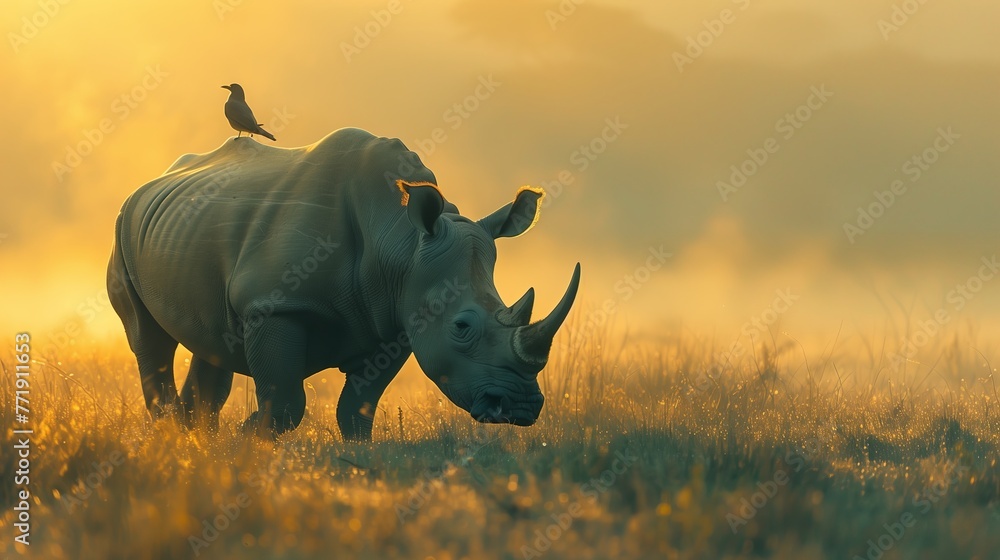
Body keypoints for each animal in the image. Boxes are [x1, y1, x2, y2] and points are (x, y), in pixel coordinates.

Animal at [107, 127, 580, 440]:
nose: (521, 407)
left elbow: (358, 407)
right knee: (148, 338)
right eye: (461, 327)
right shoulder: (274, 305)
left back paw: (195, 438)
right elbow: (285, 401)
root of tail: (155, 179)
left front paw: (359, 455)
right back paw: (172, 433)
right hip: (122, 225)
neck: (402, 242)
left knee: (211, 342)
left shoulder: (394, 320)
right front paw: (247, 440)